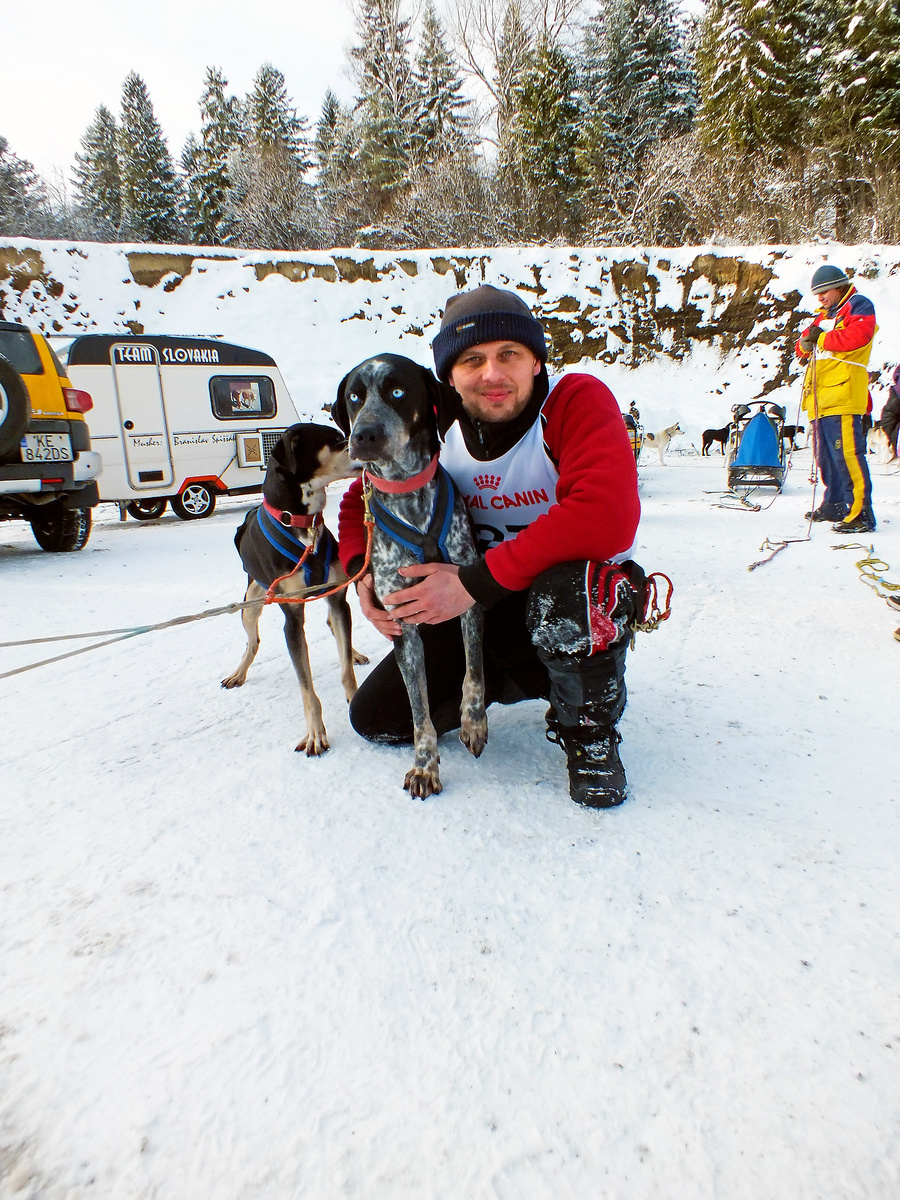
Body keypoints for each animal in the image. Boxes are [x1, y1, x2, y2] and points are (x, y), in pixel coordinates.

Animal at [222, 427, 367, 753]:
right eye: (336, 440)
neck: (303, 526)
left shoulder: (338, 598)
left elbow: (345, 669)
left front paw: (354, 698)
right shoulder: (292, 618)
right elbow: (307, 686)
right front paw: (315, 733)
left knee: (333, 627)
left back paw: (353, 652)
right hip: (251, 604)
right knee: (253, 641)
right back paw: (238, 673)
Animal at [331, 350, 487, 796]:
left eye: (398, 391)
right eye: (354, 396)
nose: (363, 435)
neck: (406, 494)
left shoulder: (466, 597)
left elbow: (474, 673)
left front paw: (473, 722)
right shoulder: (403, 626)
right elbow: (419, 712)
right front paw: (424, 765)